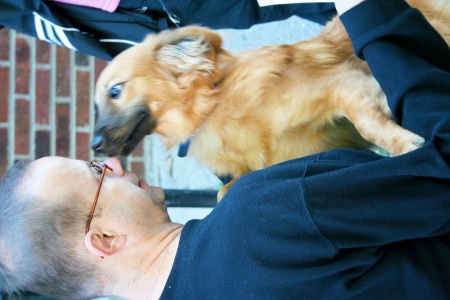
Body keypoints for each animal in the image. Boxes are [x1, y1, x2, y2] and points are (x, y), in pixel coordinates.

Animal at [92, 0, 450, 202]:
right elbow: (223, 192)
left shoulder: (342, 84)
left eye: (115, 91)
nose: (93, 144)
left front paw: (405, 147)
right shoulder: (298, 153)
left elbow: (368, 124)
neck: (213, 107)